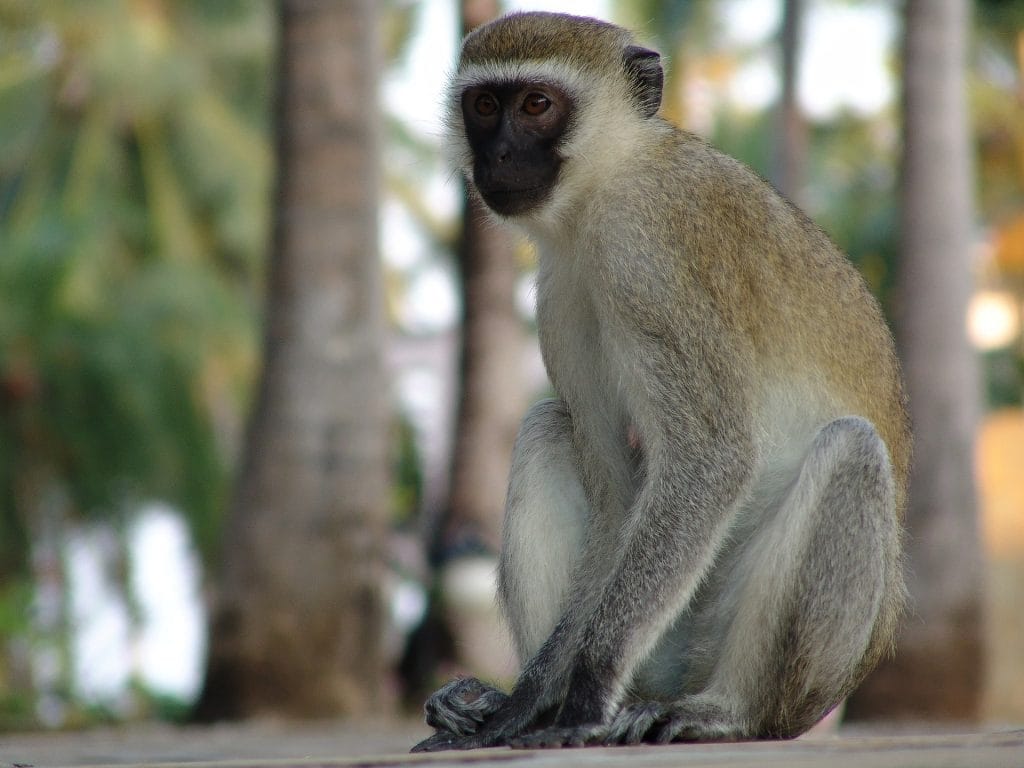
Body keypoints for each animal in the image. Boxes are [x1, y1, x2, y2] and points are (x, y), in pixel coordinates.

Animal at [411, 9, 909, 749]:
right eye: (484, 106)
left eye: (536, 105)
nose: (494, 157)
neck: (607, 184)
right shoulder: (559, 292)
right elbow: (618, 490)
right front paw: (531, 698)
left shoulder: (648, 254)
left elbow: (710, 457)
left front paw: (586, 693)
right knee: (547, 425)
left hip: (788, 666)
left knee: (850, 449)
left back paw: (730, 712)